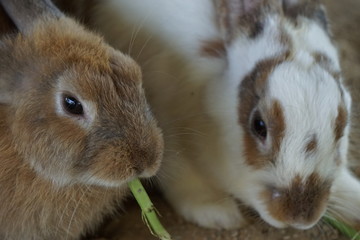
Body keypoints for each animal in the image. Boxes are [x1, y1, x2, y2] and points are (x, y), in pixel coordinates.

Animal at [73, 0, 360, 231]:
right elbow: (182, 175)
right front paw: (218, 214)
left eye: (342, 126)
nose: (299, 216)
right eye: (259, 125)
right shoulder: (163, 127)